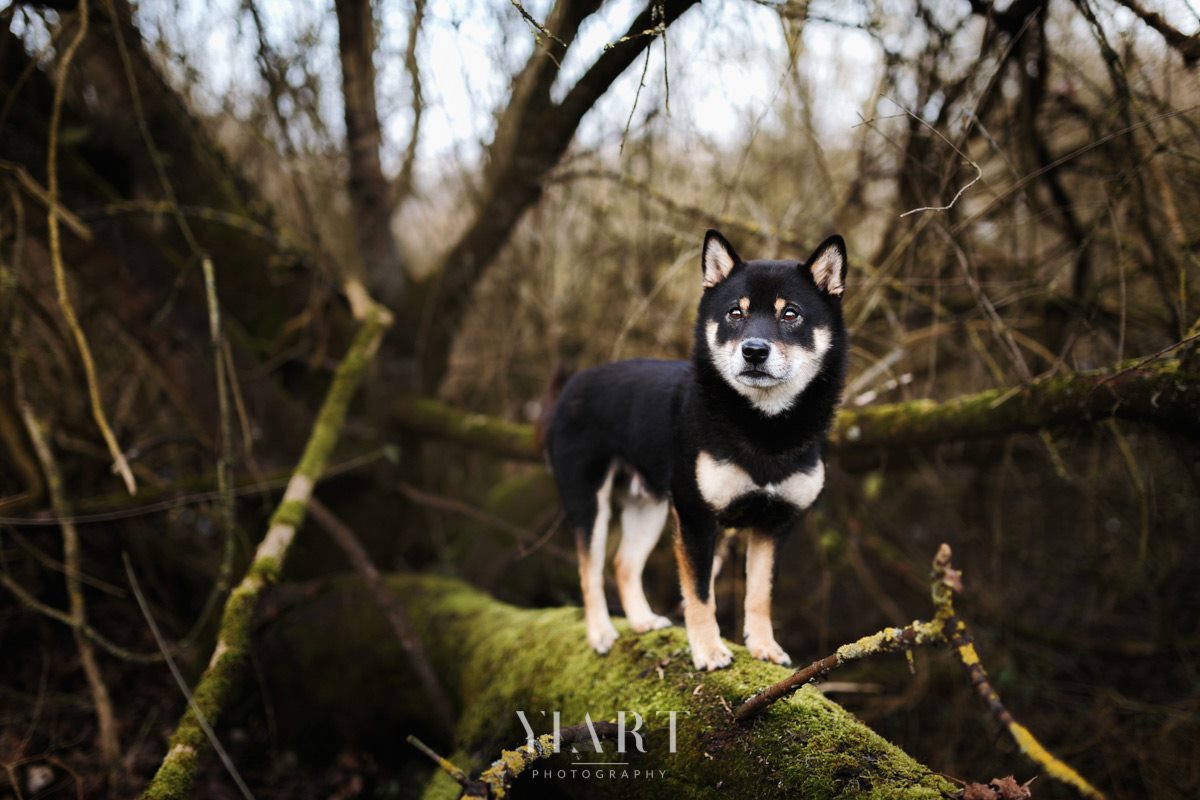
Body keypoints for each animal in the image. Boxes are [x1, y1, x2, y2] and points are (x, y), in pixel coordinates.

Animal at [540, 230, 849, 671]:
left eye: (790, 314)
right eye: (735, 314)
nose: (754, 351)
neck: (762, 426)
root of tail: (571, 387)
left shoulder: (775, 524)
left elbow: (760, 593)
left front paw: (764, 647)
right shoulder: (696, 516)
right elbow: (701, 594)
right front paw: (708, 651)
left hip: (648, 504)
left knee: (623, 564)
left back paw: (642, 621)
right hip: (587, 499)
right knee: (590, 568)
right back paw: (600, 632)